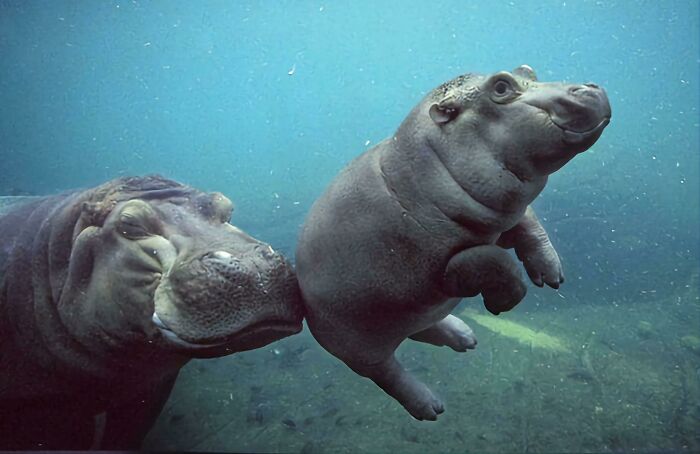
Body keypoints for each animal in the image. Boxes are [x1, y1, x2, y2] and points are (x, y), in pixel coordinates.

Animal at [296, 65, 611, 420]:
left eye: (527, 71)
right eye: (501, 86)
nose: (589, 87)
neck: (421, 163)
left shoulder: (505, 212)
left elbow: (530, 223)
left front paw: (551, 275)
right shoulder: (444, 270)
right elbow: (494, 261)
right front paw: (502, 305)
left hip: (405, 315)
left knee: (423, 327)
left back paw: (465, 337)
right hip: (358, 349)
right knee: (388, 373)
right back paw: (430, 408)